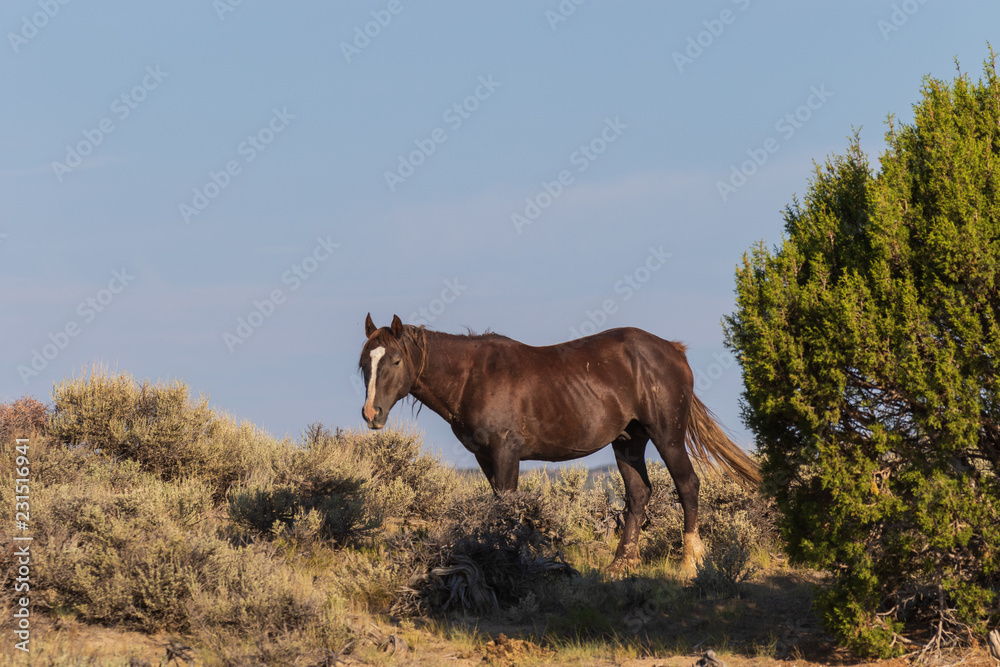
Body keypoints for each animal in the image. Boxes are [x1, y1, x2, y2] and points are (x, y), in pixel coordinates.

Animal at [359, 313, 760, 575]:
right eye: (365, 362)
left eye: (396, 360)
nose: (371, 413)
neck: (473, 376)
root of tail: (673, 350)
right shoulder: (486, 457)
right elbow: (498, 507)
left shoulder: (506, 453)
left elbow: (508, 507)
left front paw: (511, 563)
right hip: (629, 440)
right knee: (639, 494)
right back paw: (620, 564)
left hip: (666, 433)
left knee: (687, 484)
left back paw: (690, 563)